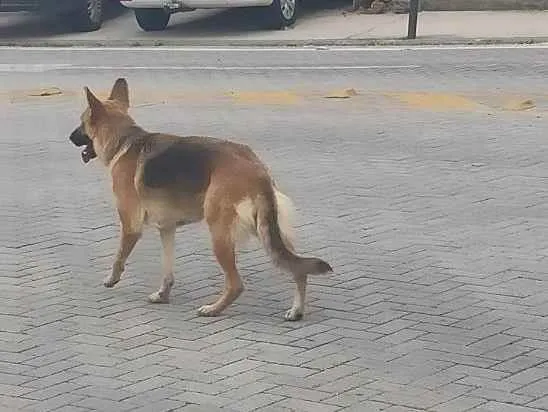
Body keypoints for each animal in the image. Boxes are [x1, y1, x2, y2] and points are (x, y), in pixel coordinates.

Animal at [70, 78, 332, 322]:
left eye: (82, 123)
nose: (70, 137)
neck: (124, 141)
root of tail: (257, 168)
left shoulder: (130, 226)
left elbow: (119, 257)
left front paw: (111, 279)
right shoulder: (167, 229)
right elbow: (167, 270)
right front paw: (163, 294)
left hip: (219, 233)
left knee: (237, 283)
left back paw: (213, 309)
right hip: (266, 229)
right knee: (298, 269)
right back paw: (296, 310)